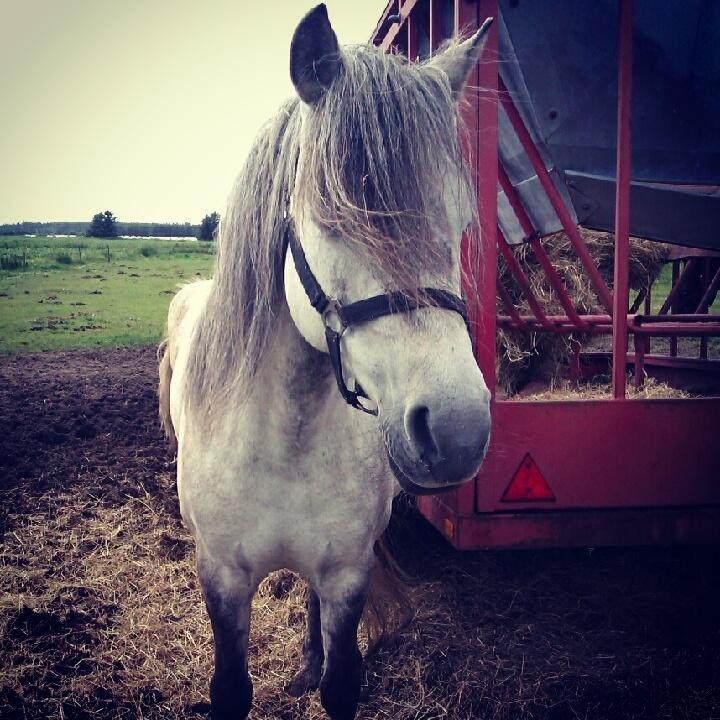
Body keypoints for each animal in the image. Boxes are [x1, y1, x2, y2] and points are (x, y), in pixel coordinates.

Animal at [160, 4, 492, 716]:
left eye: (459, 225)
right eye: (335, 219)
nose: (457, 432)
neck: (284, 438)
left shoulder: (346, 573)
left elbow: (341, 682)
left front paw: (319, 669)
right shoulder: (223, 578)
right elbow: (231, 690)